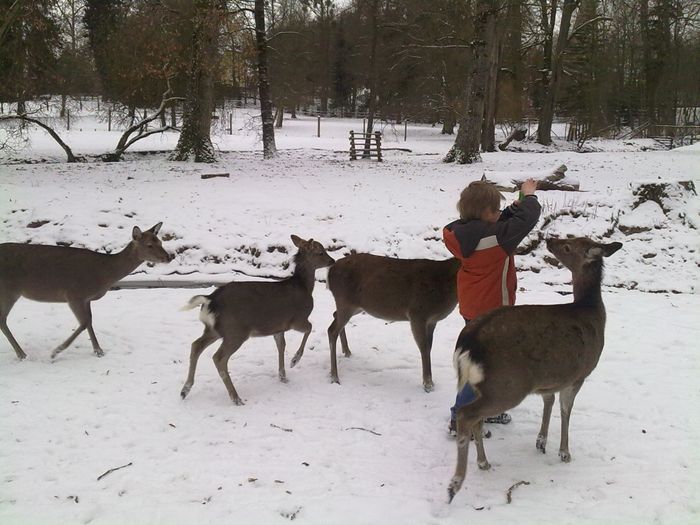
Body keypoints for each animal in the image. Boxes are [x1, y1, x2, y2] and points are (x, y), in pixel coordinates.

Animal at [0, 221, 174, 360]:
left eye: (160, 241)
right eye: (149, 245)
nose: (169, 257)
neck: (104, 275)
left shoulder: (86, 298)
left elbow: (89, 321)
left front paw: (99, 350)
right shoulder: (74, 294)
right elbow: (83, 323)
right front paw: (56, 351)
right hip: (9, 290)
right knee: (2, 319)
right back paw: (22, 354)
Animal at [179, 234, 334, 406]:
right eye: (320, 252)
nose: (332, 261)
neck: (304, 287)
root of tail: (210, 300)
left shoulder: (278, 327)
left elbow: (281, 346)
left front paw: (283, 376)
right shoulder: (297, 319)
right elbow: (309, 328)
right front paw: (294, 360)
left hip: (214, 329)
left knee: (196, 345)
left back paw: (185, 390)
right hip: (235, 331)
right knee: (218, 357)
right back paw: (236, 398)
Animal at [288, 252, 460, 390]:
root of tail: (331, 270)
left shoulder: (432, 320)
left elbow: (429, 347)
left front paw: (430, 382)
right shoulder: (417, 313)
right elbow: (423, 348)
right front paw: (428, 384)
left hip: (356, 306)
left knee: (335, 316)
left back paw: (347, 351)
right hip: (345, 300)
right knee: (332, 329)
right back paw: (334, 376)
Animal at [448, 235, 624, 502]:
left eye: (568, 245)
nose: (550, 239)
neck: (592, 312)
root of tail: (468, 343)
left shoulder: (549, 380)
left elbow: (549, 403)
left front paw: (541, 441)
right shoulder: (579, 374)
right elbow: (565, 410)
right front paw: (564, 452)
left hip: (483, 384)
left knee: (475, 417)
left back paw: (483, 462)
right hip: (508, 385)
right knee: (466, 414)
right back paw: (455, 484)